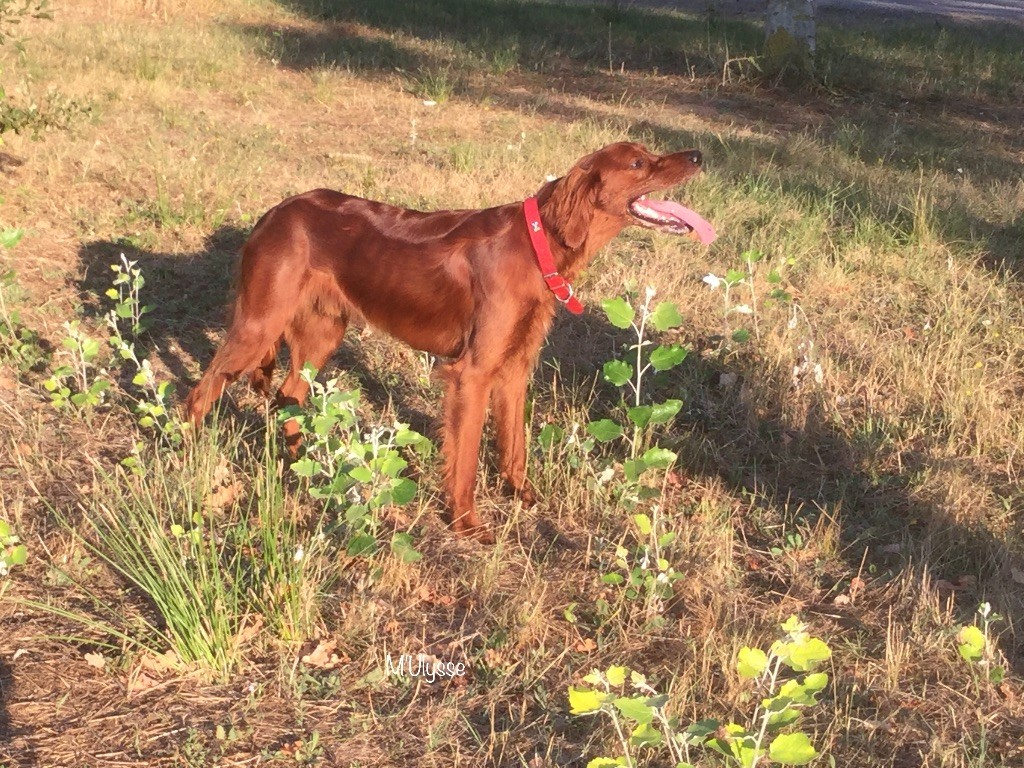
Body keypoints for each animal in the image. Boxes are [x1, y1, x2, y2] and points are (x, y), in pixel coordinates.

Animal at [186, 143, 712, 540]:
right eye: (638, 163)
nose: (697, 154)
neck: (537, 242)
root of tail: (272, 214)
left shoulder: (515, 368)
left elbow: (514, 444)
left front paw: (521, 496)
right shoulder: (472, 374)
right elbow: (465, 457)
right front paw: (466, 523)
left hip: (323, 332)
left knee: (288, 395)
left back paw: (300, 464)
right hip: (258, 325)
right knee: (202, 390)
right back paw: (186, 451)